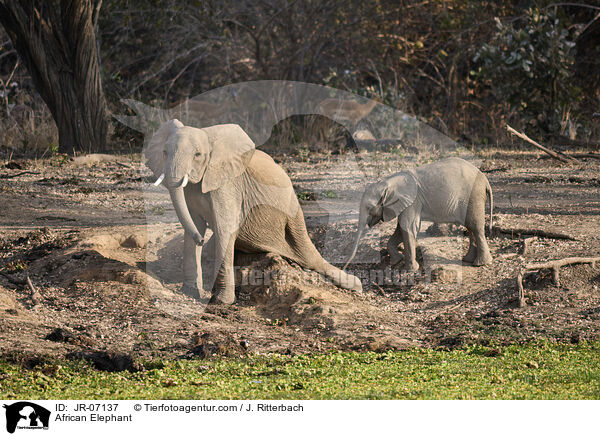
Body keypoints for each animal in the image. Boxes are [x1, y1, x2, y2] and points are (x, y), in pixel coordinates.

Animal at [146, 117, 360, 304]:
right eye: (164, 152)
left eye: (197, 155)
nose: (200, 240)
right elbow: (193, 224)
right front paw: (190, 292)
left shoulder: (229, 186)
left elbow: (225, 229)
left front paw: (221, 301)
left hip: (294, 214)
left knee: (309, 256)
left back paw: (356, 286)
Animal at [346, 158, 492, 270]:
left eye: (369, 208)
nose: (345, 267)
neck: (387, 182)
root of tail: (486, 180)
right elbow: (400, 228)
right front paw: (397, 262)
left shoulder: (413, 200)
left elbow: (407, 227)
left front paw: (410, 269)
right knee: (470, 227)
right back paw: (468, 260)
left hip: (473, 196)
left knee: (475, 226)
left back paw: (481, 264)